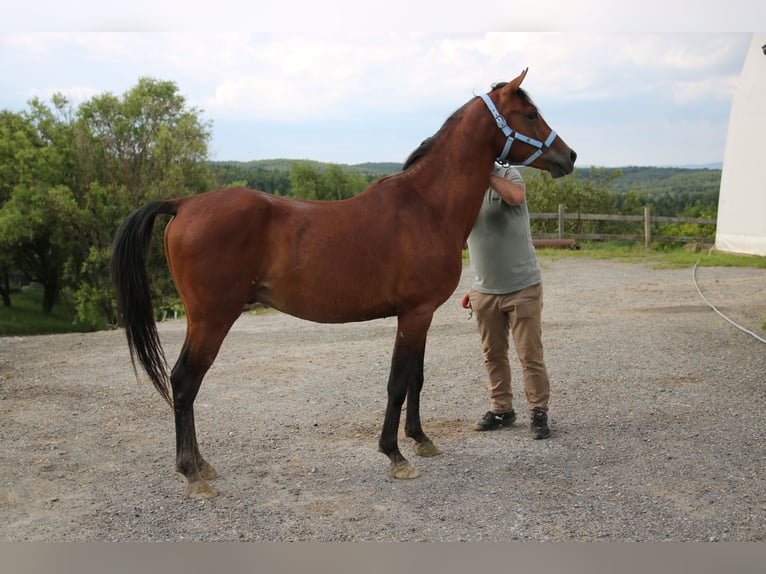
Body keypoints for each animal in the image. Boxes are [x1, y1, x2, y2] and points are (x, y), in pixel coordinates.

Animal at [109, 68, 576, 500]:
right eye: (530, 114)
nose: (568, 156)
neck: (426, 206)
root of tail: (184, 203)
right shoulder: (414, 314)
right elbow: (397, 382)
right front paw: (395, 455)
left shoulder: (421, 313)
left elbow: (416, 379)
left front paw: (421, 440)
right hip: (212, 320)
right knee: (184, 381)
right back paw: (192, 472)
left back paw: (200, 465)